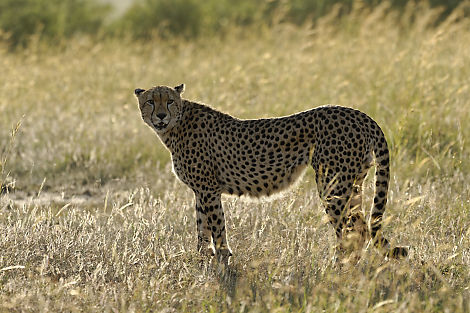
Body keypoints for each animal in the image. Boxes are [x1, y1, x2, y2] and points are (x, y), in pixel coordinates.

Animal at [134, 84, 406, 262]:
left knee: (350, 230)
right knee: (360, 227)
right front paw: (202, 258)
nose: (161, 115)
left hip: (333, 184)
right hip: (353, 183)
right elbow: (202, 225)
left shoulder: (209, 189)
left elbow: (217, 224)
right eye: (151, 101)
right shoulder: (202, 191)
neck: (175, 125)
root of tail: (360, 114)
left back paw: (338, 268)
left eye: (169, 100)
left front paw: (223, 257)